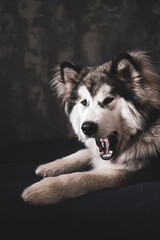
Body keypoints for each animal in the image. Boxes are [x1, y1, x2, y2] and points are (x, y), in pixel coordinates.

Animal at [21, 50, 160, 204]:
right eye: (84, 102)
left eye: (108, 100)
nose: (86, 127)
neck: (144, 129)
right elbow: (83, 152)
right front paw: (51, 166)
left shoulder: (135, 172)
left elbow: (85, 177)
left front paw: (44, 189)